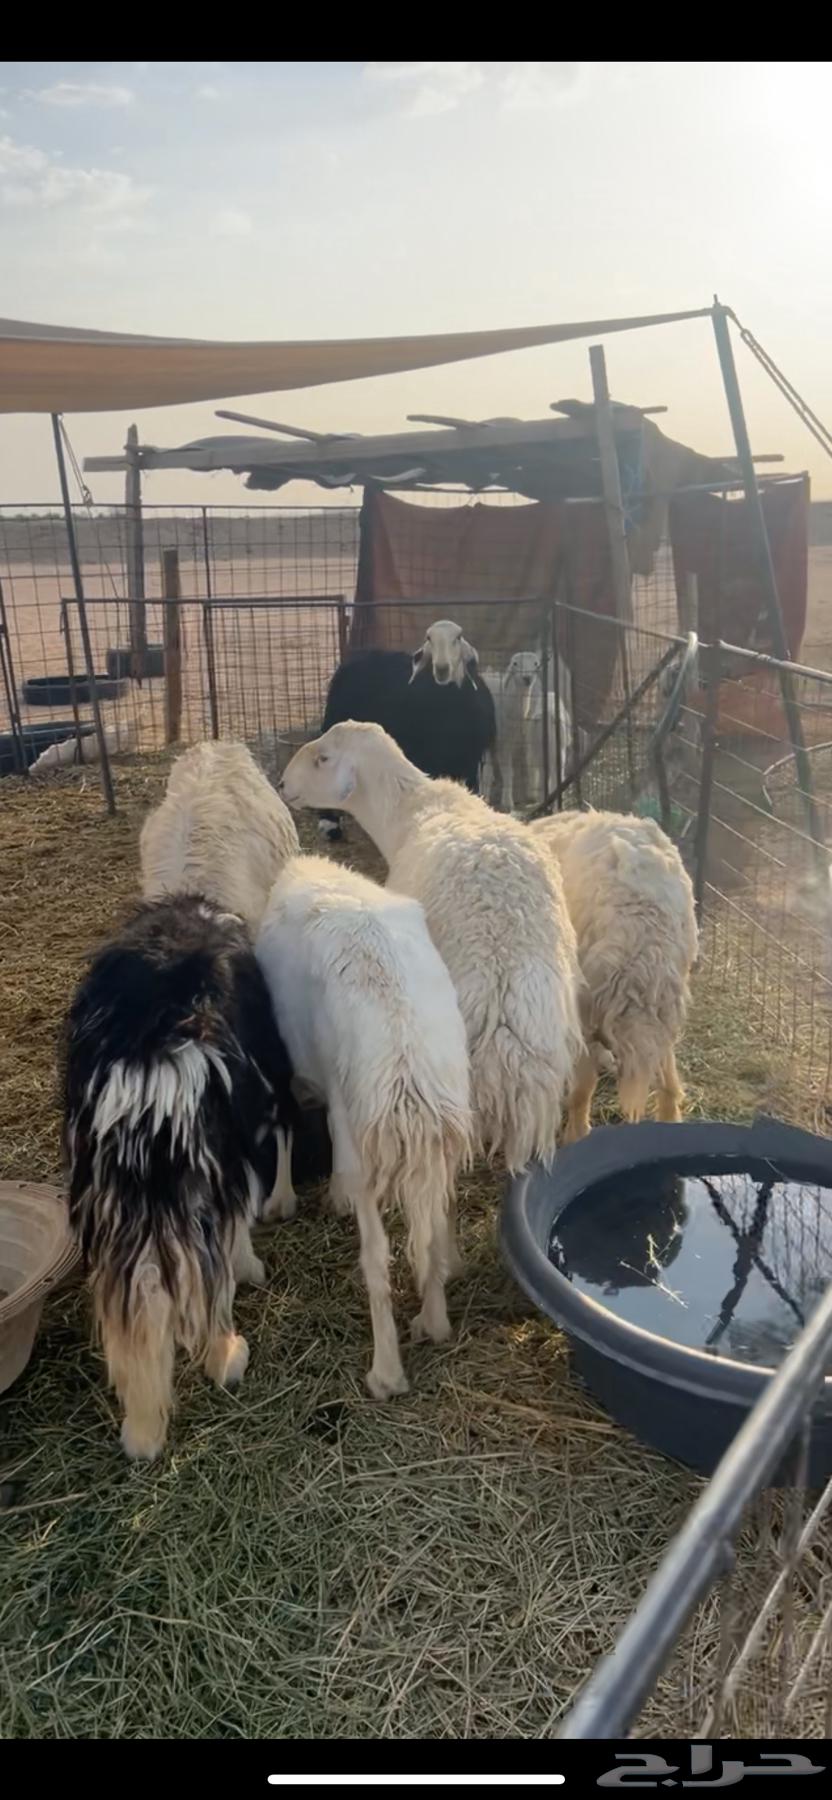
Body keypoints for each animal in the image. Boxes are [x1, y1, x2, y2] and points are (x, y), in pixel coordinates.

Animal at [61, 894, 299, 1461]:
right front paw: (252, 1267)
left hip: (102, 1185)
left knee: (129, 1297)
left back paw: (141, 1433)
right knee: (210, 1273)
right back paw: (228, 1358)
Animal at [256, 855, 472, 1398]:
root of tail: (406, 1065)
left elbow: (287, 1121)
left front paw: (288, 1199)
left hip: (365, 1138)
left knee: (376, 1258)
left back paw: (385, 1373)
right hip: (444, 1132)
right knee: (432, 1231)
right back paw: (433, 1323)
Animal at [316, 620, 496, 841]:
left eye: (458, 637)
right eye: (429, 638)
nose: (442, 669)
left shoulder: (470, 762)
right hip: (335, 721)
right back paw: (330, 824)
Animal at [481, 652, 574, 813]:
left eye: (536, 664)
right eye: (515, 664)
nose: (527, 678)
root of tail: (488, 673)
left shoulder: (520, 742)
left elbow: (522, 768)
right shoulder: (503, 743)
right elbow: (507, 771)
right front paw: (507, 803)